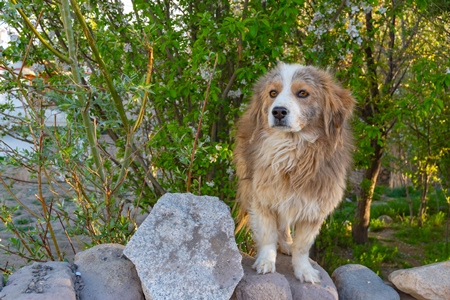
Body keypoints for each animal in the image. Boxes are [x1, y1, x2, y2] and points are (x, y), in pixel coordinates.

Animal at [232, 62, 356, 282]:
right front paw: (265, 262)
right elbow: (268, 235)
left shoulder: (314, 207)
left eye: (303, 93)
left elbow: (302, 246)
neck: (293, 150)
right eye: (273, 93)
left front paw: (304, 270)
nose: (278, 112)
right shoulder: (263, 197)